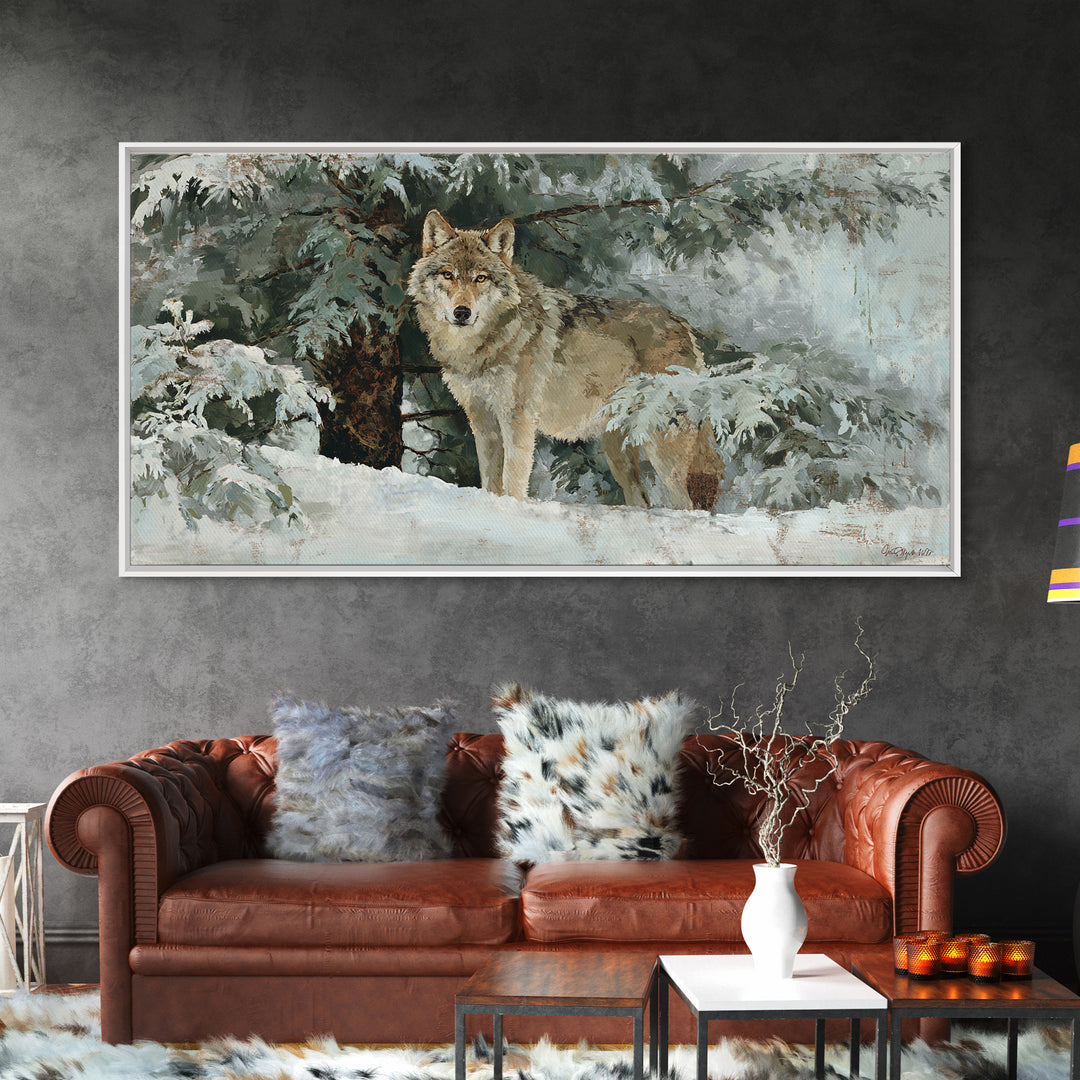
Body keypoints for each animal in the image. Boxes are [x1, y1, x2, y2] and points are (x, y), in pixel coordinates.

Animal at [407, 209, 717, 509]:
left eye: (480, 278)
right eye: (448, 275)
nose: (462, 312)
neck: (484, 345)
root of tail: (684, 327)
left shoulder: (518, 418)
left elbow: (513, 479)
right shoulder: (482, 419)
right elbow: (490, 481)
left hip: (664, 447)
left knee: (688, 504)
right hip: (617, 450)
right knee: (642, 500)